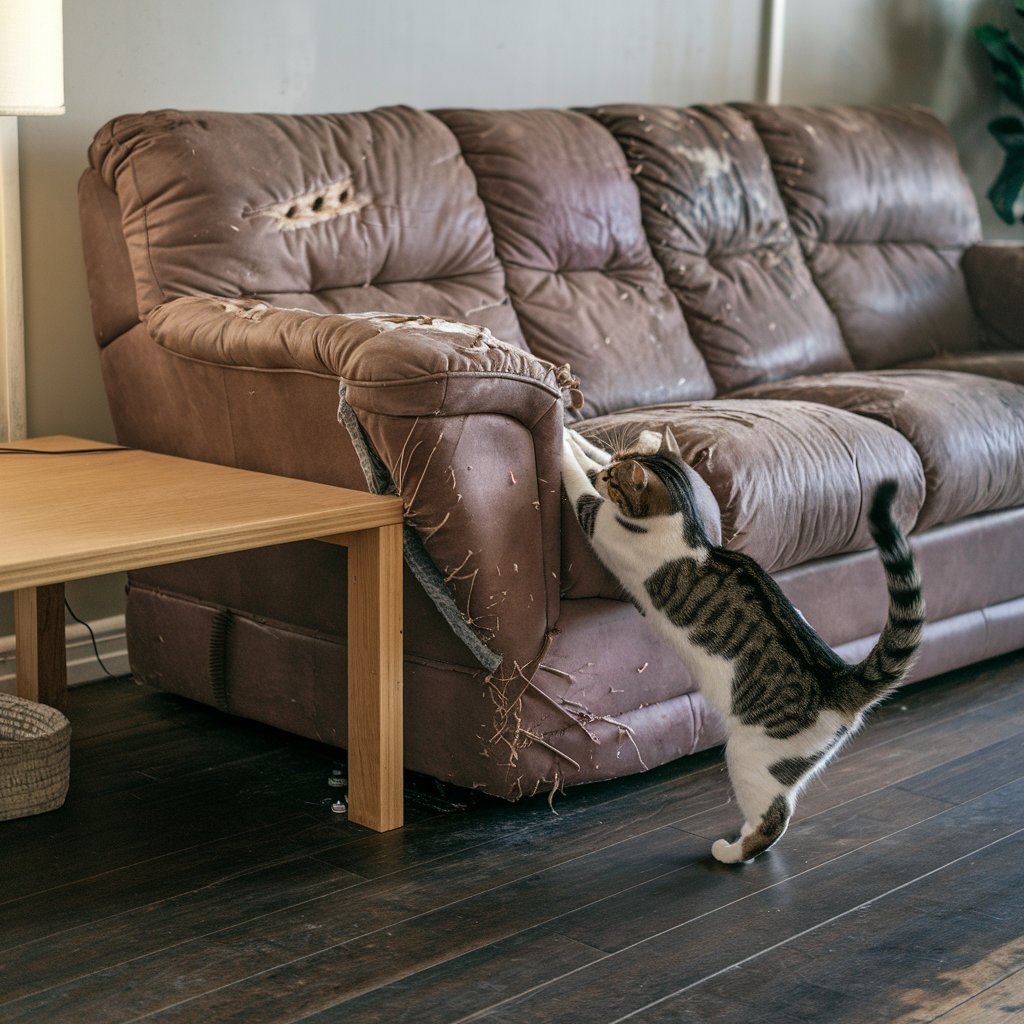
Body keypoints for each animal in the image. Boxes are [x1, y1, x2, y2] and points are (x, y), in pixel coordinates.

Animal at [565, 423, 925, 864]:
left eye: (614, 481)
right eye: (613, 465)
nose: (606, 475)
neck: (688, 529)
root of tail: (839, 681)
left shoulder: (598, 521)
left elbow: (575, 482)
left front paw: (563, 442)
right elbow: (587, 456)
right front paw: (577, 436)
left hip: (750, 757)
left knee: (775, 820)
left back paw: (732, 851)